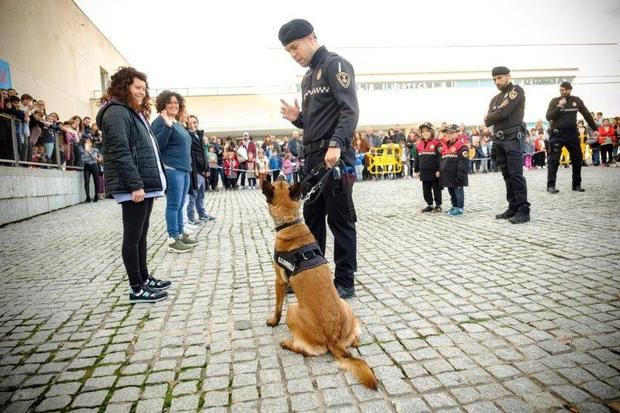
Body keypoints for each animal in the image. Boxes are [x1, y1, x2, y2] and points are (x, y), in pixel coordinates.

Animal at [262, 175, 378, 388]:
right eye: (281, 180)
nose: (280, 173)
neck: (291, 224)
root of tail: (334, 341)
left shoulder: (279, 281)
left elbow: (277, 307)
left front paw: (273, 321)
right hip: (345, 307)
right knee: (355, 340)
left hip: (293, 311)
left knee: (306, 350)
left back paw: (288, 344)